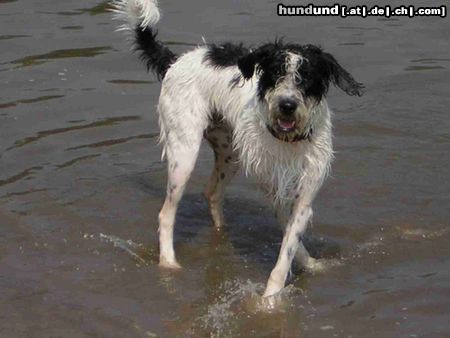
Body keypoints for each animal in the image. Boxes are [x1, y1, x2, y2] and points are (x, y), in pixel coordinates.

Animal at [111, 0, 362, 298]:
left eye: (306, 77)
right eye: (276, 73)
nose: (287, 105)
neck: (288, 141)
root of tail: (177, 60)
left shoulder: (304, 193)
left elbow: (291, 240)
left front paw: (307, 266)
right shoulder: (275, 189)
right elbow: (286, 247)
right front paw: (269, 301)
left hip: (230, 153)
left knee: (212, 193)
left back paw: (221, 233)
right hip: (184, 154)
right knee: (166, 213)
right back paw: (169, 263)